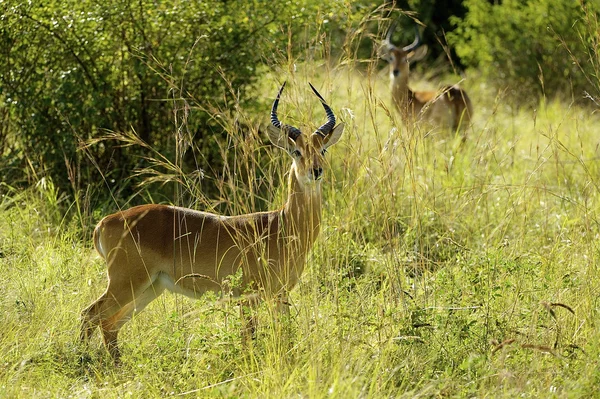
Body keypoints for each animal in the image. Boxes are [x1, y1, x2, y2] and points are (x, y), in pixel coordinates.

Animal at [80, 83, 344, 364]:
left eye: (323, 149)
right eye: (296, 151)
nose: (316, 171)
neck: (281, 226)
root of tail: (104, 222)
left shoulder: (280, 295)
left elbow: (285, 335)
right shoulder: (247, 297)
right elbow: (248, 339)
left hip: (149, 288)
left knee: (109, 325)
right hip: (126, 284)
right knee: (90, 315)